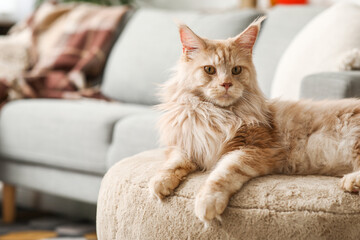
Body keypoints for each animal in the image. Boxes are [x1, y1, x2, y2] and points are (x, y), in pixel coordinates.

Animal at [147, 17, 360, 225]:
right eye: (209, 70)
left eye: (236, 70)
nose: (226, 84)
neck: (215, 115)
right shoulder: (191, 143)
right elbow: (173, 162)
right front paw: (159, 184)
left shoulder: (255, 150)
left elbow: (222, 172)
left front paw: (207, 202)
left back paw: (350, 182)